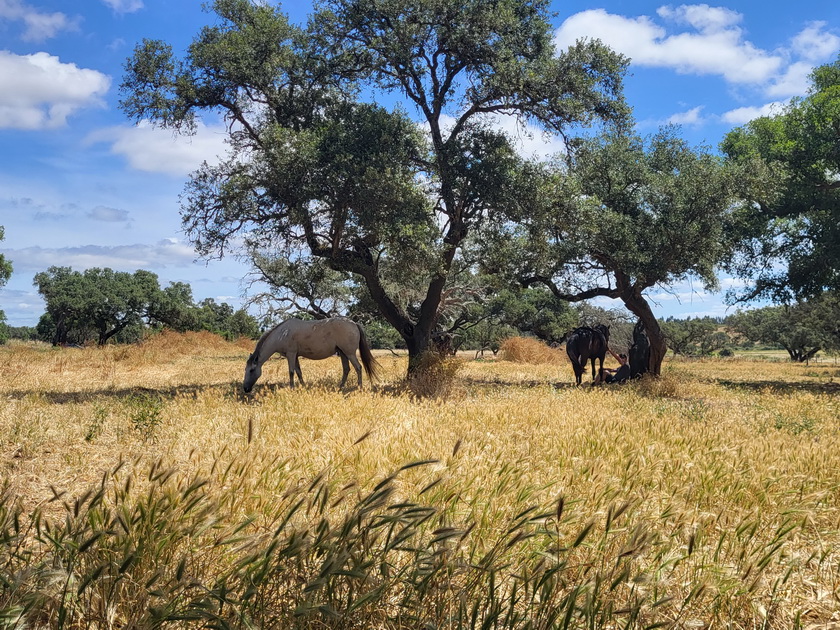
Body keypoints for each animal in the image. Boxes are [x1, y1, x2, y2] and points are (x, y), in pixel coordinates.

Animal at [243, 318, 380, 392]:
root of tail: (354, 323)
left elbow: (291, 372)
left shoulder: (291, 354)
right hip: (343, 353)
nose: (245, 389)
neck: (282, 333)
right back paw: (340, 387)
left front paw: (292, 388)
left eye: (251, 370)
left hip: (350, 353)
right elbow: (299, 372)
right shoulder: (295, 356)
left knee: (358, 368)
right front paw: (303, 387)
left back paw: (359, 387)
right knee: (346, 369)